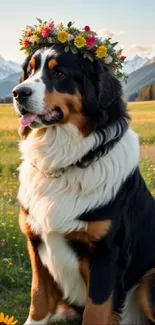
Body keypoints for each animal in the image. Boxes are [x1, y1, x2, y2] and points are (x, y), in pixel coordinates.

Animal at [12, 43, 155, 324]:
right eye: (29, 71)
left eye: (58, 73)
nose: (18, 93)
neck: (65, 161)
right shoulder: (35, 241)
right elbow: (38, 298)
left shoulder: (107, 254)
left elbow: (95, 311)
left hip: (150, 280)